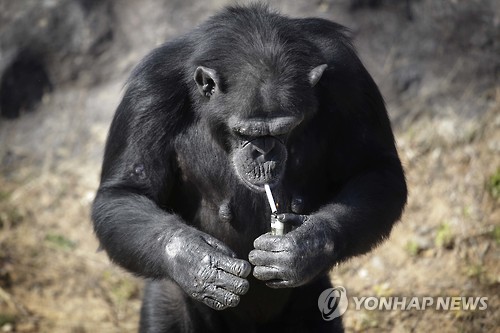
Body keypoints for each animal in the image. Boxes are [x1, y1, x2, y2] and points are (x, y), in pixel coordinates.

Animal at [92, 3, 408, 332]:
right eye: (243, 132)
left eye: (284, 129)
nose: (263, 153)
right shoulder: (148, 92)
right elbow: (125, 191)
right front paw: (197, 262)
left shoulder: (351, 80)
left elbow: (375, 169)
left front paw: (303, 247)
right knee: (168, 299)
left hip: (312, 298)